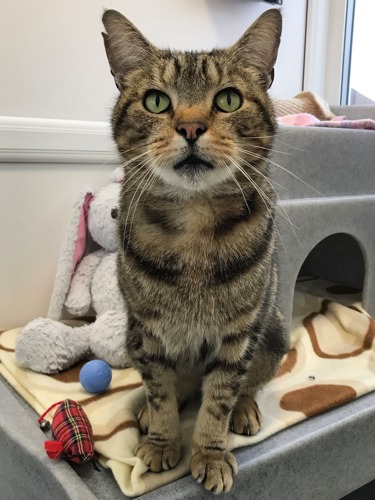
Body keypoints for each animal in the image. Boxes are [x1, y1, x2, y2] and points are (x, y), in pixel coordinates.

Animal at [101, 8, 286, 496]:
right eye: (155, 102)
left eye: (227, 100)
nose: (189, 127)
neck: (194, 224)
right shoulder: (148, 332)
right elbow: (162, 391)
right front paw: (163, 441)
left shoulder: (239, 335)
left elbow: (218, 398)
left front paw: (211, 452)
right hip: (130, 337)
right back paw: (146, 414)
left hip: (273, 332)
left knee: (247, 384)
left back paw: (245, 410)